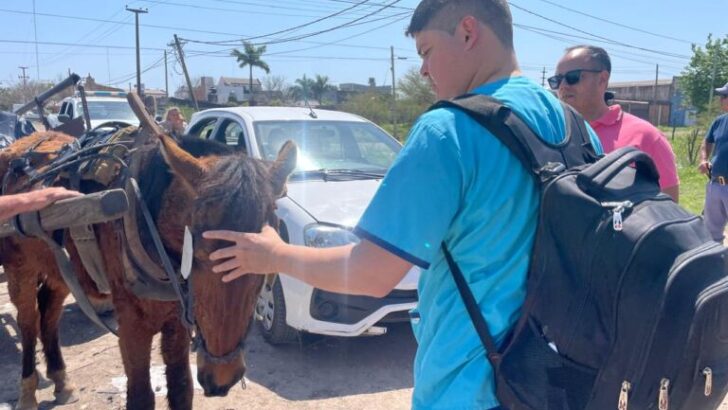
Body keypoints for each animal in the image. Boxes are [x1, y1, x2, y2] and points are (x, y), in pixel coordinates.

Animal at [0, 131, 111, 410]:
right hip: (20, 267)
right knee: (28, 321)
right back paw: (28, 391)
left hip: (61, 271)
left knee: (49, 315)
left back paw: (60, 379)